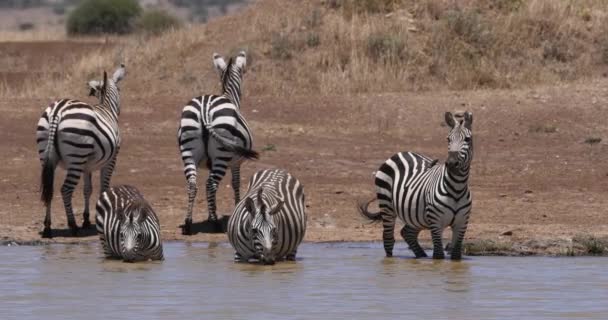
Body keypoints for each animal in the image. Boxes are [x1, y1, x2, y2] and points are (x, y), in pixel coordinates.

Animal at [36, 63, 126, 238]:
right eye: (119, 89)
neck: (106, 108)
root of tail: (57, 111)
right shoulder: (111, 160)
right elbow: (103, 187)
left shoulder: (87, 165)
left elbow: (87, 190)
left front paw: (86, 219)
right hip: (76, 157)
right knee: (65, 190)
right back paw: (73, 225)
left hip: (48, 157)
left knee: (49, 189)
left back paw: (48, 227)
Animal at [178, 50, 258, 235]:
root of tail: (204, 108)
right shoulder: (236, 162)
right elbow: (235, 184)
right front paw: (235, 209)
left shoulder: (210, 163)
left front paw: (209, 214)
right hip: (222, 154)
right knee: (211, 185)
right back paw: (215, 224)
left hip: (188, 151)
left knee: (193, 185)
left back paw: (188, 223)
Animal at [360, 112, 476, 260]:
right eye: (448, 139)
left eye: (467, 139)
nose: (451, 163)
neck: (457, 188)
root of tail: (400, 153)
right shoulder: (436, 224)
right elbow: (438, 255)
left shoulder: (462, 224)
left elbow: (456, 256)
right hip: (387, 205)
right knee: (388, 239)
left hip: (416, 215)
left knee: (407, 232)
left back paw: (421, 256)